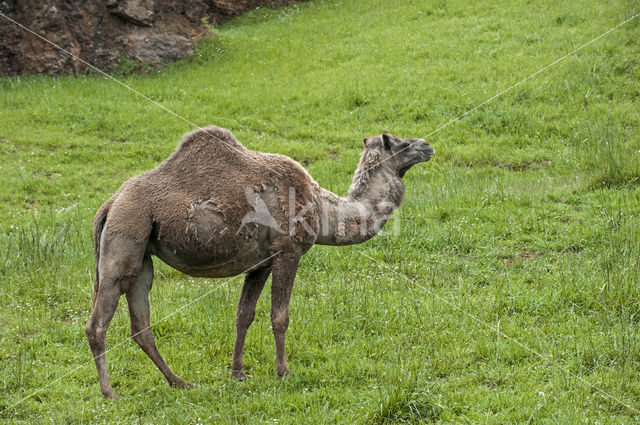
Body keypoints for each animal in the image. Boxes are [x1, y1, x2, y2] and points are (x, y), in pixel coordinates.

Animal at [86, 124, 436, 396]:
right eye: (400, 142)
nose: (427, 145)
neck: (322, 207)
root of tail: (109, 205)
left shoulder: (261, 262)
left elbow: (244, 314)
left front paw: (238, 372)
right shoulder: (288, 251)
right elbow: (280, 315)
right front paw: (283, 371)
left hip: (142, 255)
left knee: (140, 323)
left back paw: (180, 382)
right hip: (125, 236)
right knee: (97, 323)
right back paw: (109, 392)